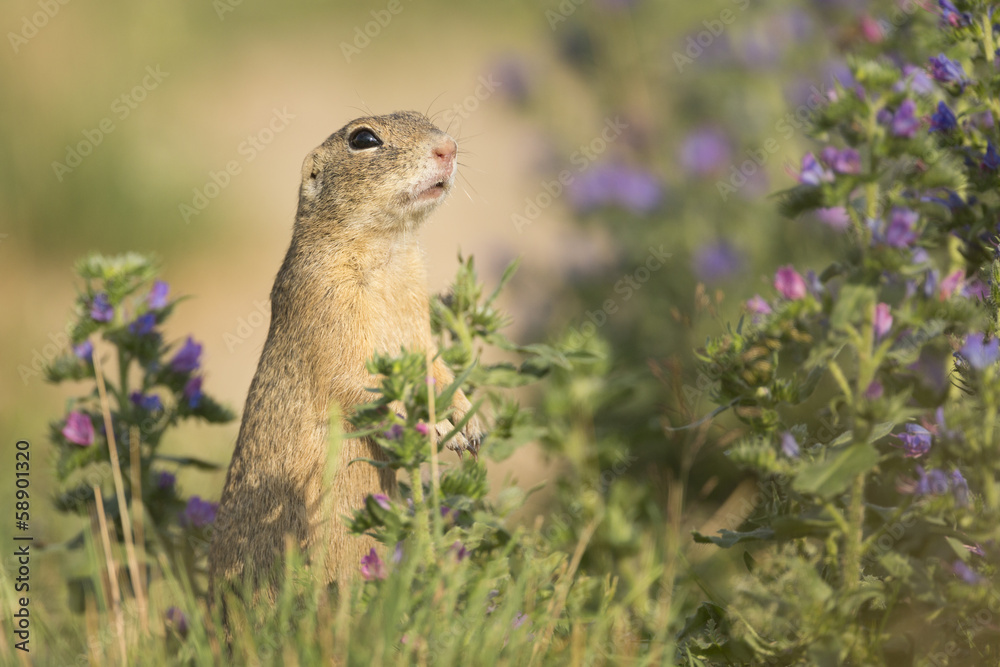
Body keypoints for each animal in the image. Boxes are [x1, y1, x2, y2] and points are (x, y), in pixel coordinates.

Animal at [208, 110, 481, 603]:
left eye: (424, 118)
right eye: (363, 139)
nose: (448, 147)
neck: (391, 253)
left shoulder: (419, 323)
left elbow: (436, 363)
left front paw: (468, 421)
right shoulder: (328, 305)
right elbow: (357, 379)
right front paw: (437, 427)